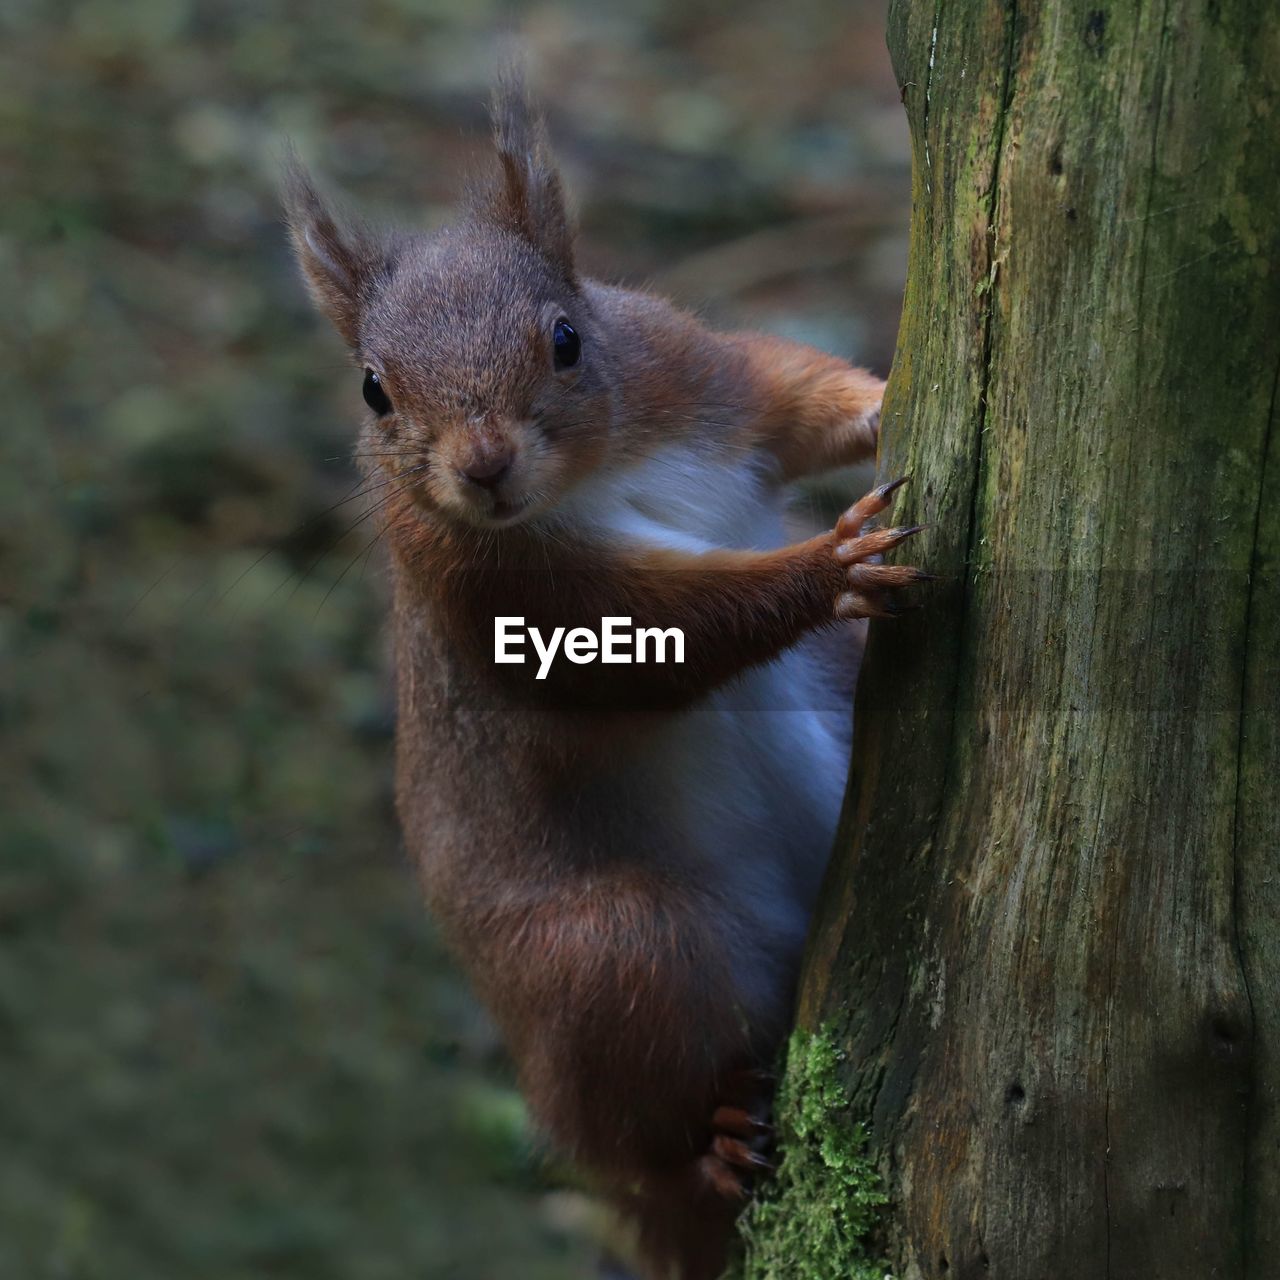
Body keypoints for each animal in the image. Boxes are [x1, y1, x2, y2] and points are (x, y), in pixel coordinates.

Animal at [282, 72, 921, 1280]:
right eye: (374, 391)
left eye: (569, 337)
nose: (484, 467)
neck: (596, 473)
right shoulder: (509, 601)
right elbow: (676, 625)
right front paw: (829, 566)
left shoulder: (701, 378)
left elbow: (791, 392)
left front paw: (877, 396)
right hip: (614, 954)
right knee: (631, 1139)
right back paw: (709, 1149)